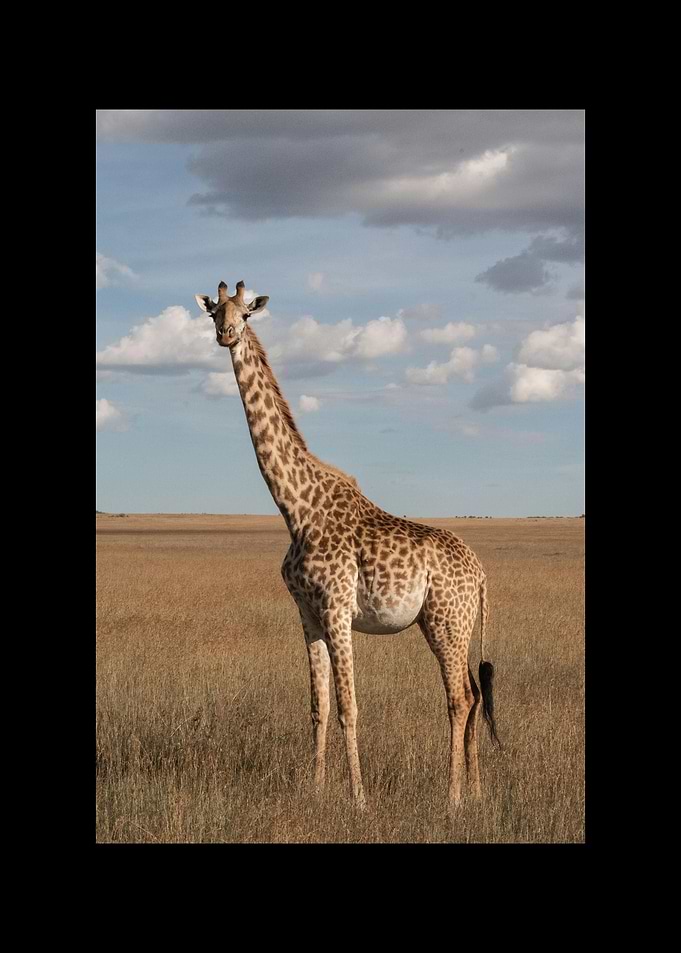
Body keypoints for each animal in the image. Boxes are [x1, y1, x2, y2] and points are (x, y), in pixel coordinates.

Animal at [195, 280, 500, 809]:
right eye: (214, 311)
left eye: (246, 313)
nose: (226, 334)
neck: (295, 509)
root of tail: (480, 573)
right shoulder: (307, 613)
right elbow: (318, 706)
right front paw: (316, 789)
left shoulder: (338, 609)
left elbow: (348, 707)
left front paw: (358, 798)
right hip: (444, 623)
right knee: (474, 693)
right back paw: (477, 791)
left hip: (448, 620)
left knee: (460, 697)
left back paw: (452, 798)